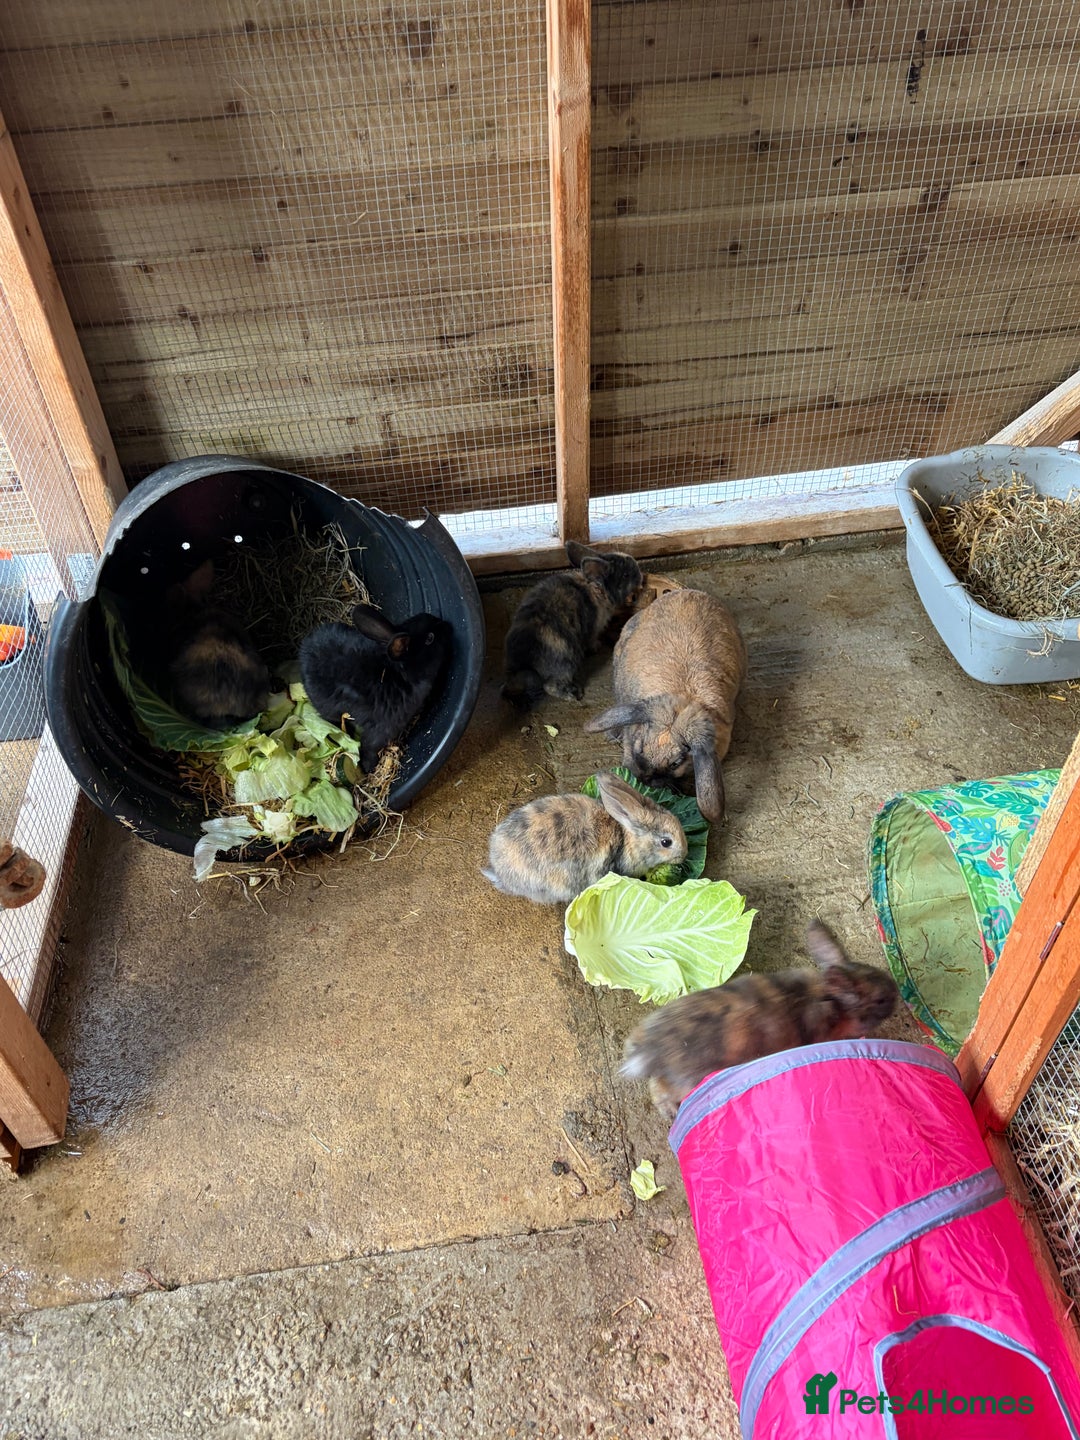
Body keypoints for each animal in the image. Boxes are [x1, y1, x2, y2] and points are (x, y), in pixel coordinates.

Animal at [299, 603, 452, 772]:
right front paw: (369, 766)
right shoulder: (382, 728)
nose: (447, 625)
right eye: (430, 638)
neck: (401, 674)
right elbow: (370, 745)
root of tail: (303, 652)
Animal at [501, 540, 643, 709]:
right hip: (566, 659)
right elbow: (592, 639)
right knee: (550, 686)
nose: (640, 574)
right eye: (625, 575)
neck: (596, 589)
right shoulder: (592, 629)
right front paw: (596, 646)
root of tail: (524, 666)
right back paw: (574, 694)